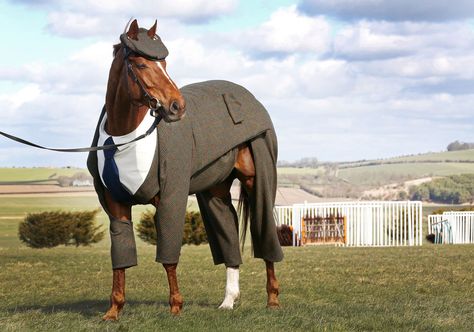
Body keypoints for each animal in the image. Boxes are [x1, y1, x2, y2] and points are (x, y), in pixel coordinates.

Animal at [87, 19, 284, 320]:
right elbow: (121, 258)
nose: (176, 106)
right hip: (214, 192)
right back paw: (228, 301)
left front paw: (176, 305)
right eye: (141, 64)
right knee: (229, 240)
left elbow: (169, 257)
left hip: (257, 179)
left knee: (265, 233)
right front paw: (114, 310)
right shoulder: (116, 205)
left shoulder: (170, 197)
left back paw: (272, 299)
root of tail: (248, 97)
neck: (125, 138)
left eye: (164, 63)